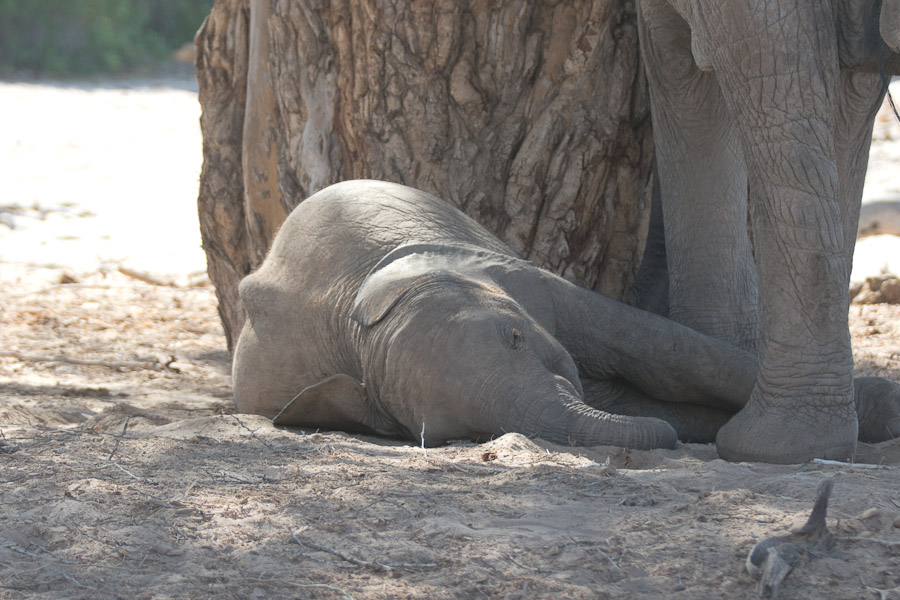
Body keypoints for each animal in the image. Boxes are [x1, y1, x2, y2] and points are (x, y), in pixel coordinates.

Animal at [234, 180, 900, 452]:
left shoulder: (515, 276)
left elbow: (662, 352)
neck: (351, 317)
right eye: (468, 435)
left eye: (514, 337)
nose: (667, 445)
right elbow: (643, 392)